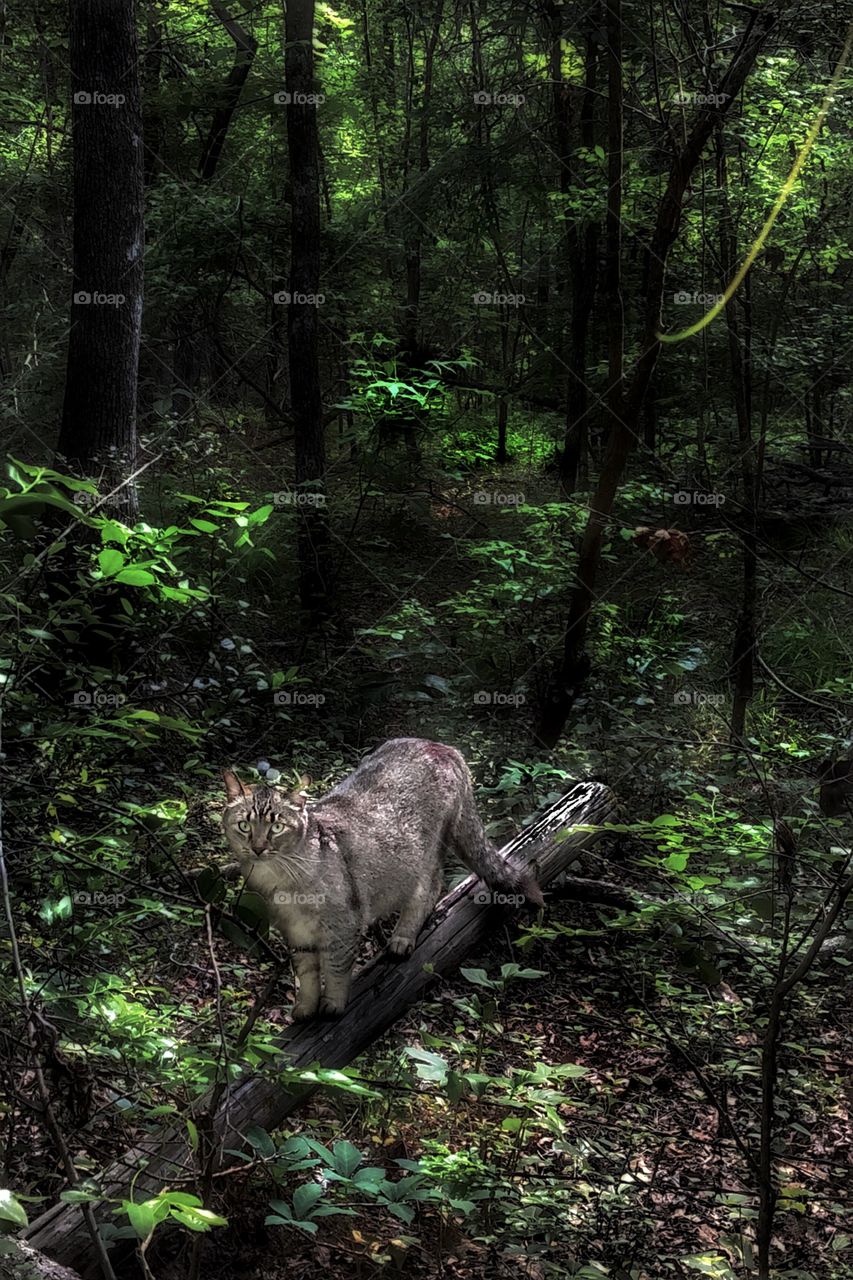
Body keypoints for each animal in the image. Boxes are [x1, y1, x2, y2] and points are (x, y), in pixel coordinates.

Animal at [219, 742, 537, 1018]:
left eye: (277, 827)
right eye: (244, 825)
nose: (258, 847)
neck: (279, 881)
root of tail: (443, 747)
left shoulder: (343, 925)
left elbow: (335, 968)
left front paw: (333, 1004)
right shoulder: (297, 934)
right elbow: (306, 974)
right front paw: (305, 1008)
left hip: (426, 854)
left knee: (430, 887)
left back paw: (402, 937)